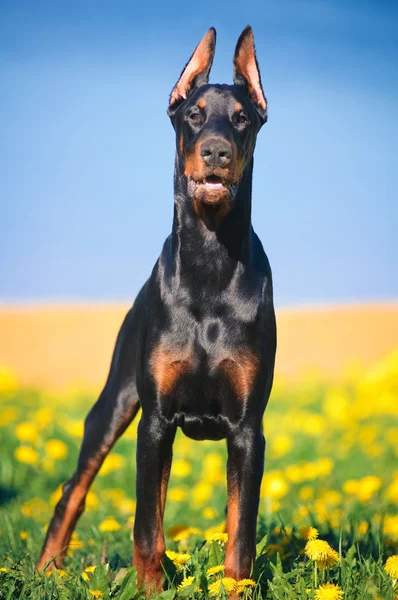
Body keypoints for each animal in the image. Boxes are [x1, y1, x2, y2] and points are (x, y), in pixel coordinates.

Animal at [38, 25, 276, 592]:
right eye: (194, 114)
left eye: (242, 118)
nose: (216, 152)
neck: (210, 263)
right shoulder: (156, 419)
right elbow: (148, 529)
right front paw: (150, 590)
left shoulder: (248, 429)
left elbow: (240, 538)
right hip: (115, 400)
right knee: (71, 492)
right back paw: (41, 572)